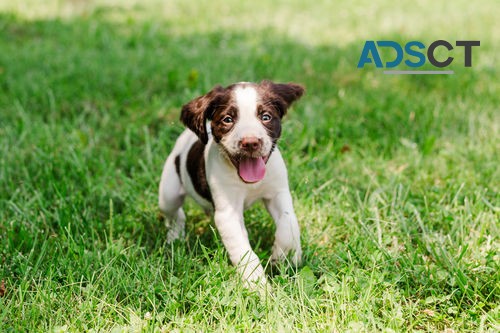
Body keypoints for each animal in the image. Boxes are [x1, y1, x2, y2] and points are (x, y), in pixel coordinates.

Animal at [158, 80, 302, 286]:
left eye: (266, 117)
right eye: (227, 119)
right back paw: (175, 237)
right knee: (175, 214)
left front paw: (285, 256)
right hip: (168, 193)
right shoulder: (228, 214)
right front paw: (257, 286)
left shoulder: (278, 193)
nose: (250, 142)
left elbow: (288, 223)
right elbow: (243, 251)